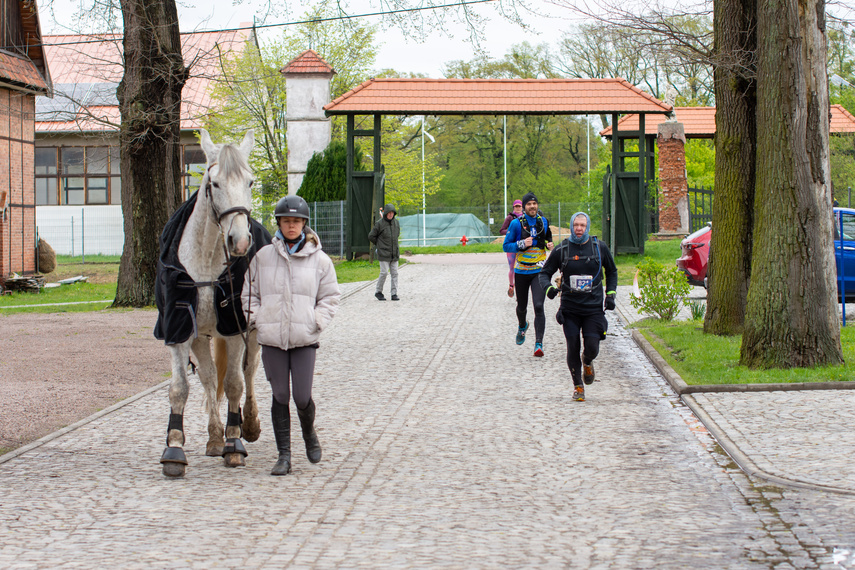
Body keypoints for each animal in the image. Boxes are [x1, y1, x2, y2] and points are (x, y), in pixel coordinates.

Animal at [159, 129, 262, 474]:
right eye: (213, 183)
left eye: (250, 182)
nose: (240, 241)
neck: (205, 258)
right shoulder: (180, 329)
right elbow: (181, 387)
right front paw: (175, 448)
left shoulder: (235, 329)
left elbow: (234, 384)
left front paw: (235, 443)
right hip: (201, 335)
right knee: (207, 376)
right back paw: (215, 437)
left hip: (252, 332)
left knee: (249, 371)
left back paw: (248, 425)